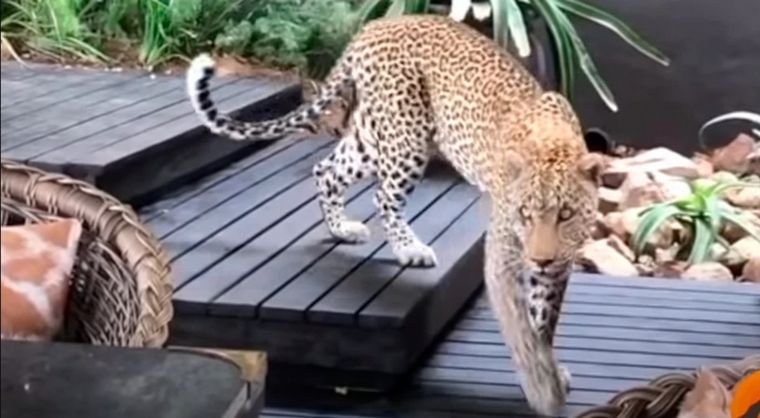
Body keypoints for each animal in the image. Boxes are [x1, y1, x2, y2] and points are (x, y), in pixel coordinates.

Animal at [186, 14, 604, 416]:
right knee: (382, 196)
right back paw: (408, 249)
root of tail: (373, 26)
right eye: (524, 213)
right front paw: (543, 390)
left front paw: (551, 369)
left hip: (369, 138)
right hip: (406, 138)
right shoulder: (503, 257)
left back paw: (341, 229)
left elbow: (543, 321)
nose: (541, 257)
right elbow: (522, 328)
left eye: (566, 214)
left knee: (326, 170)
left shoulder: (555, 267)